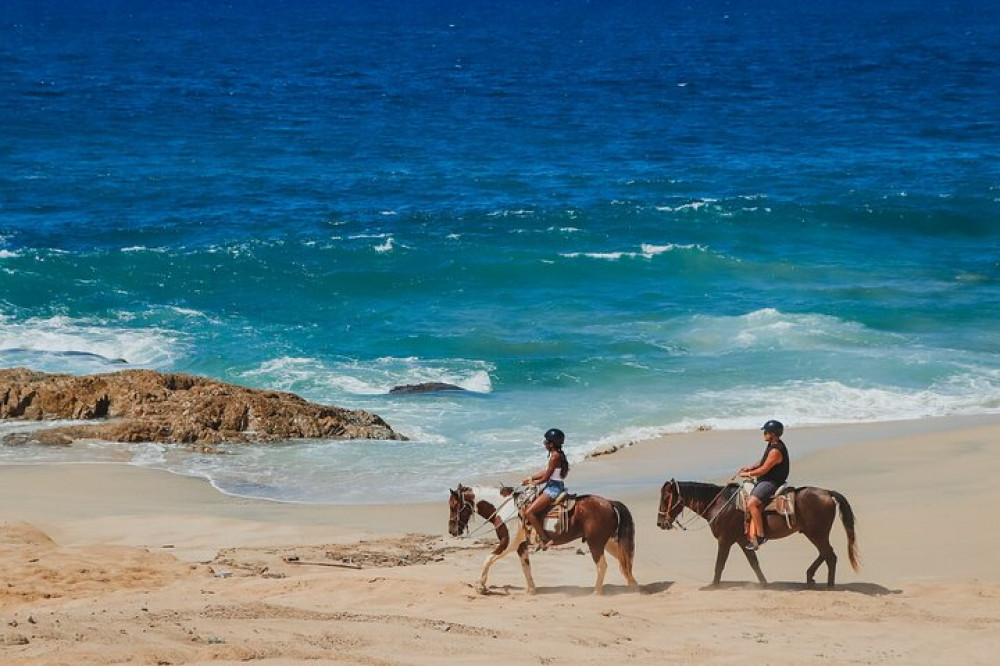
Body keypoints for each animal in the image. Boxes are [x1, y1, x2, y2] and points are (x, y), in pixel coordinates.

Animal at [448, 480, 636, 592]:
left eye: (453, 505)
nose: (451, 530)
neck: (506, 510)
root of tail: (609, 503)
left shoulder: (508, 543)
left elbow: (487, 559)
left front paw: (480, 586)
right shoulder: (520, 545)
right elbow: (526, 567)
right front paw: (531, 590)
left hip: (595, 543)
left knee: (602, 566)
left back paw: (596, 592)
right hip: (609, 543)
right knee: (624, 562)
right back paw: (633, 587)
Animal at [656, 478, 860, 588]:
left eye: (666, 498)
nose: (660, 523)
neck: (720, 503)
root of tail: (827, 492)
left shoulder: (724, 540)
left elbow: (719, 564)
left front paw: (713, 585)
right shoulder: (742, 540)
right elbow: (754, 563)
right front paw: (763, 583)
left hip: (817, 534)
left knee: (829, 555)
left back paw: (829, 585)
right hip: (815, 533)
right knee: (825, 554)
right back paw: (811, 576)